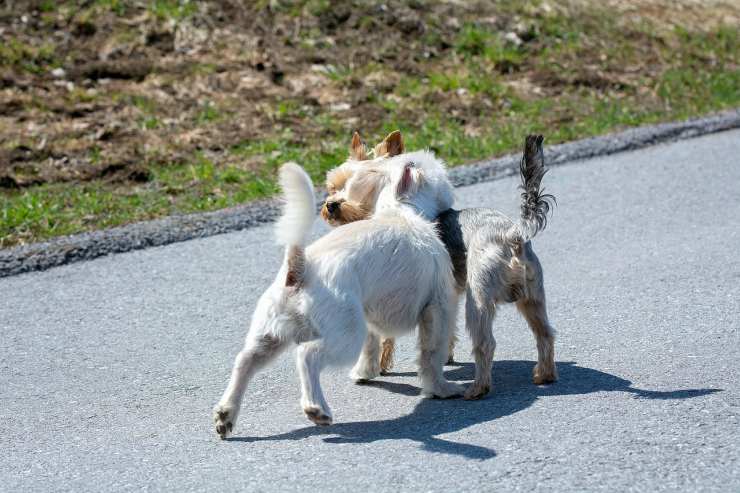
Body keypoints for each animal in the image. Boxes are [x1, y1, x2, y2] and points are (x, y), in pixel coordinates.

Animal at [211, 160, 460, 436]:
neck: (399, 210)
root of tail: (300, 269)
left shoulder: (370, 315)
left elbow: (372, 346)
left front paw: (364, 372)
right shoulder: (438, 308)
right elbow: (432, 354)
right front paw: (441, 389)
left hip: (270, 334)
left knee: (245, 361)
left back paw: (226, 415)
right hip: (345, 336)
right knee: (307, 356)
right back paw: (316, 409)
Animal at [320, 133, 556, 398]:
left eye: (354, 187)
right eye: (333, 187)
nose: (331, 204)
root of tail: (512, 234)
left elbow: (382, 337)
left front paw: (377, 367)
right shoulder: (444, 297)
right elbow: (444, 334)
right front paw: (445, 358)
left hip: (479, 298)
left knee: (485, 343)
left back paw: (477, 388)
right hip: (533, 295)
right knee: (545, 333)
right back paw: (544, 374)